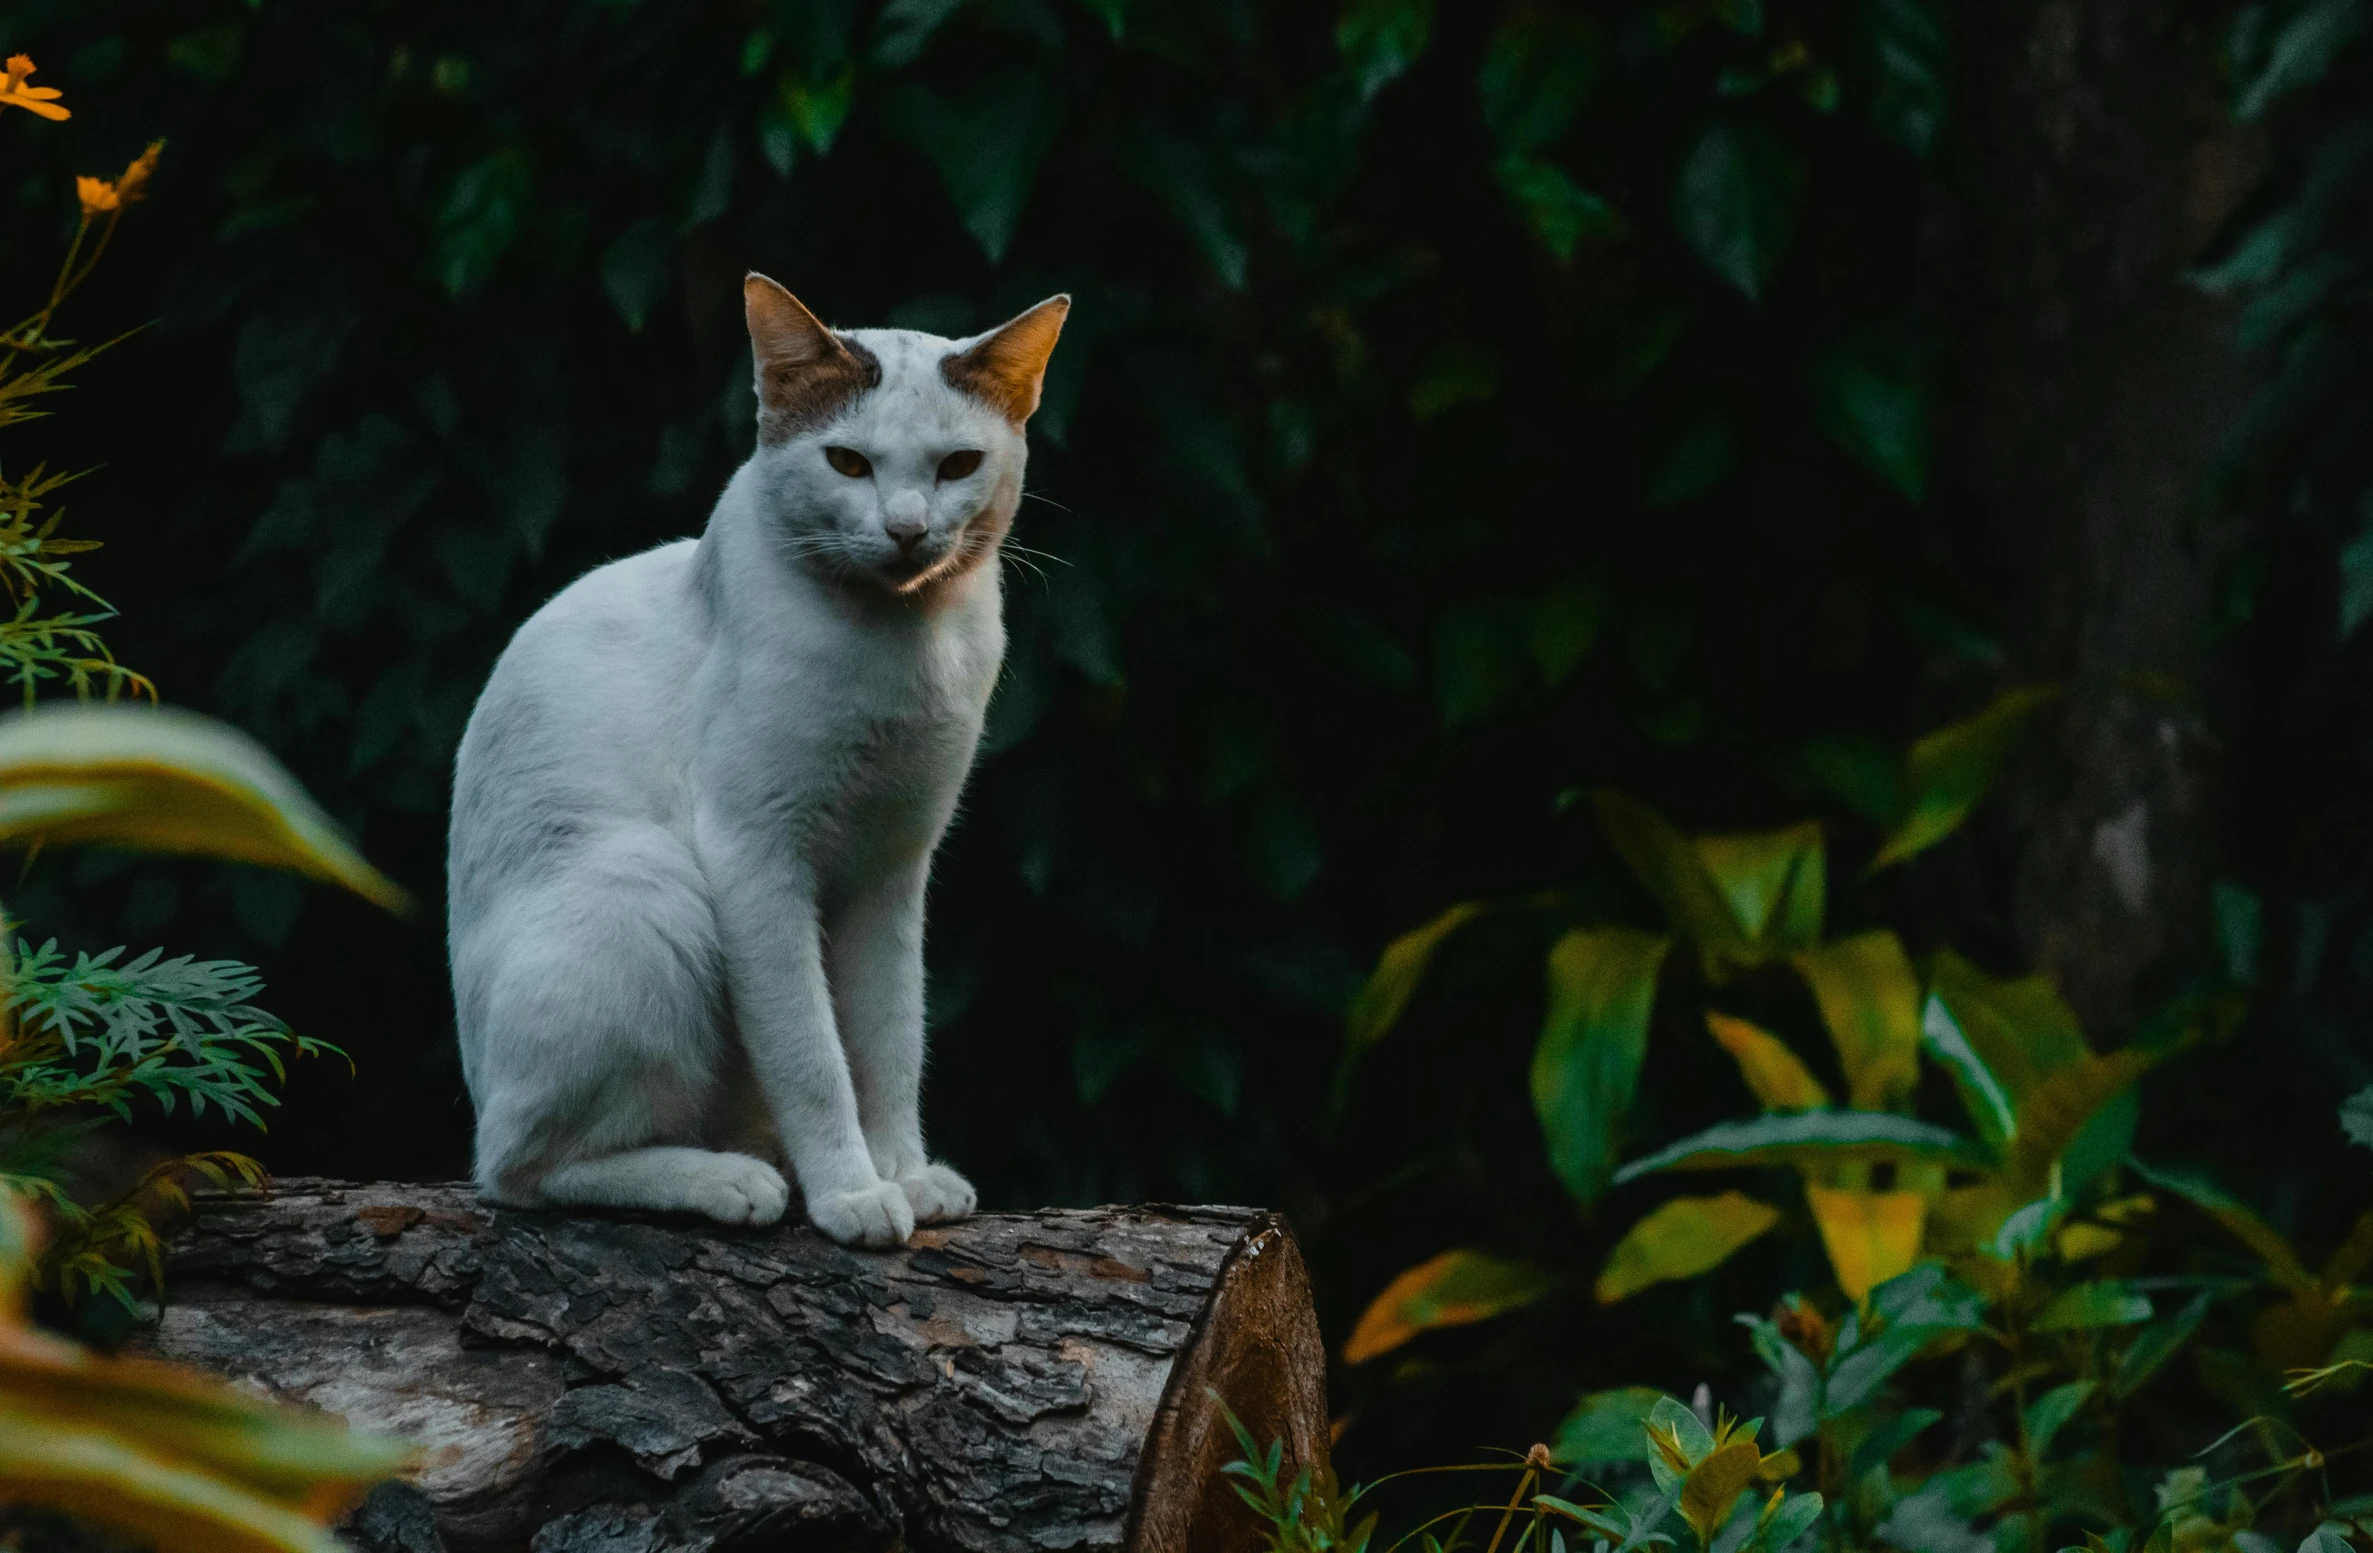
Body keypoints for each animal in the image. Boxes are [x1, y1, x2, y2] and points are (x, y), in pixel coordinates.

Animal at [443, 276, 1067, 1253]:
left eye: (957, 465)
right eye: (847, 463)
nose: (905, 528)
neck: (899, 649)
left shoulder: (892, 871)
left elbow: (889, 1040)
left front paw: (902, 1172)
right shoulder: (754, 855)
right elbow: (812, 1054)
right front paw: (851, 1192)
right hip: (648, 886)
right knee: (517, 1169)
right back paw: (731, 1179)